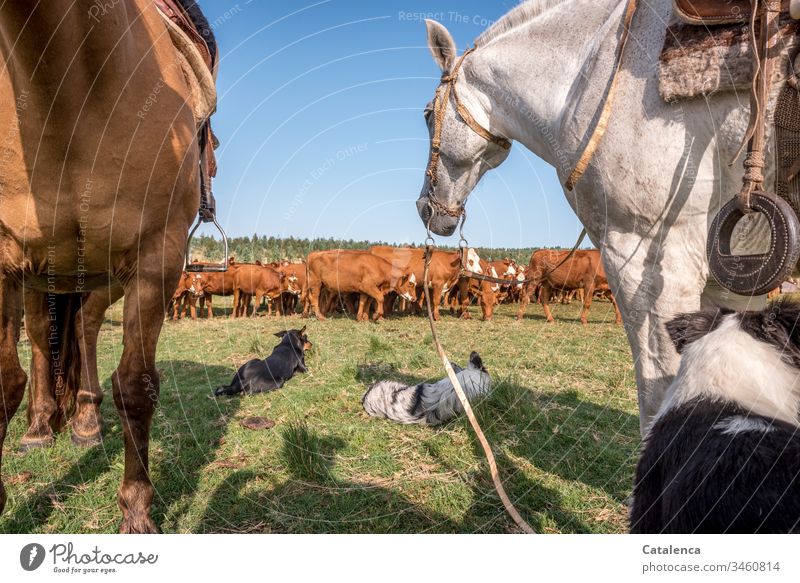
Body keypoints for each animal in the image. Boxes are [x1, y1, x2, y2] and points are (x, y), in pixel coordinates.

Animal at [0, 2, 203, 532]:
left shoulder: (156, 260)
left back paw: (86, 420)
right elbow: (5, 381)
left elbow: (135, 387)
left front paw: (136, 508)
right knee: (40, 337)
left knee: (86, 328)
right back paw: (39, 424)